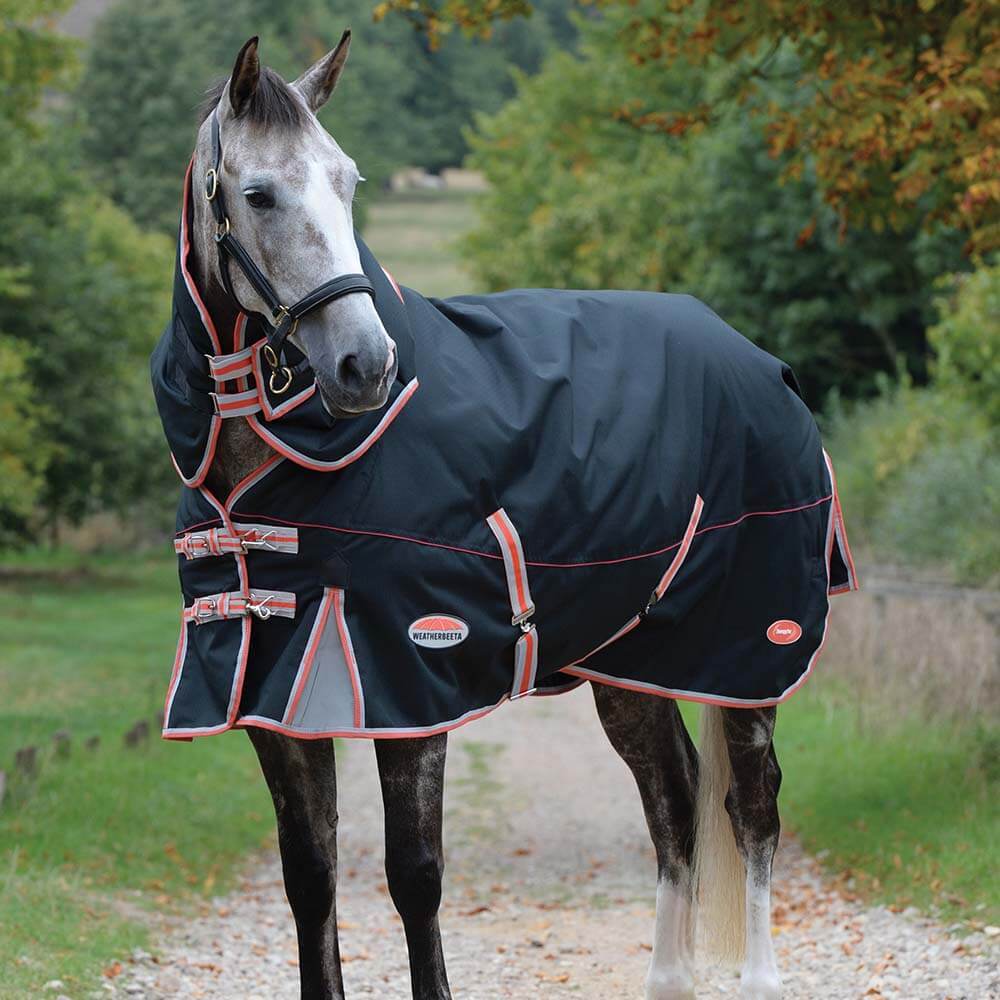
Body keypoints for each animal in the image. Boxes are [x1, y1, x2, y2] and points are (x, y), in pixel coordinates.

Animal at [172, 32, 803, 1000]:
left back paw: (760, 976)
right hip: (631, 666)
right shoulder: (274, 692)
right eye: (260, 193)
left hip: (746, 656)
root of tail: (757, 359)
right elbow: (310, 877)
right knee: (673, 805)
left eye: (348, 181)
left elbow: (415, 877)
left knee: (752, 809)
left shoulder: (409, 678)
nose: (365, 365)